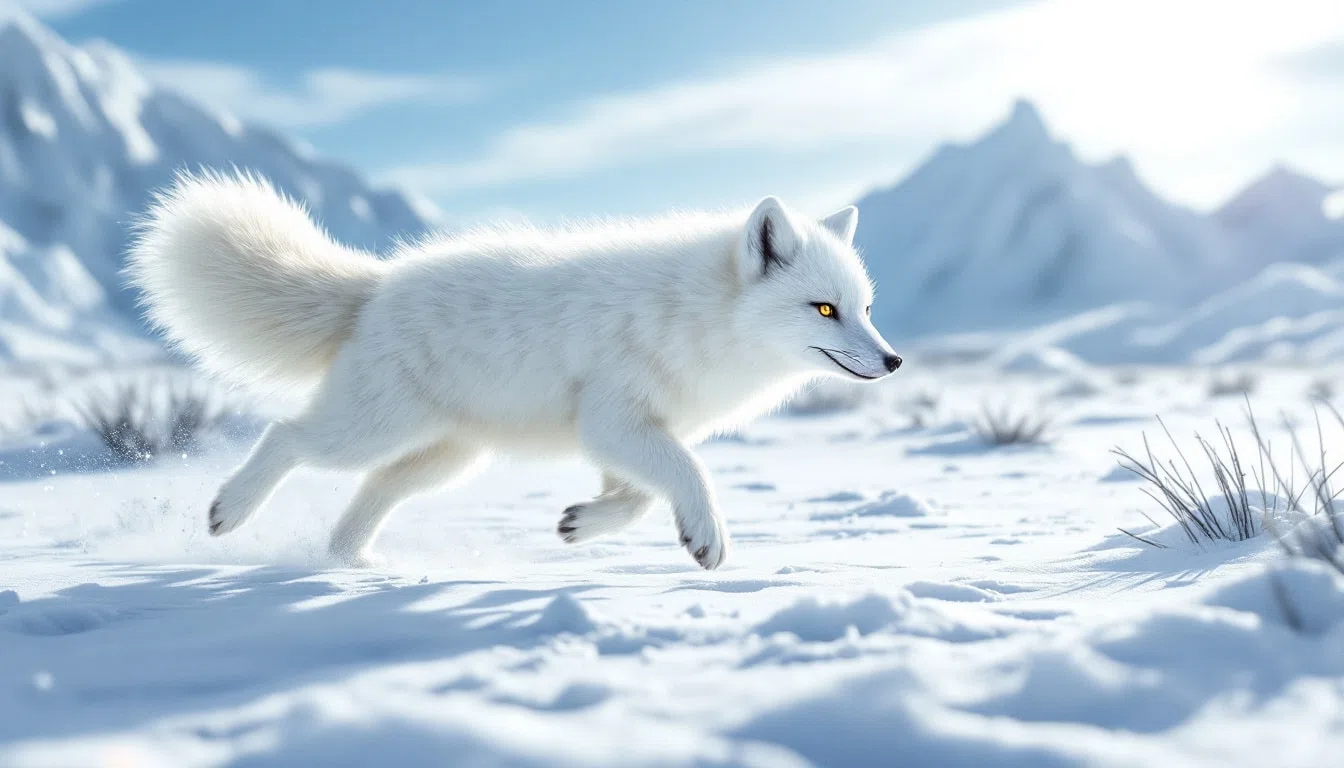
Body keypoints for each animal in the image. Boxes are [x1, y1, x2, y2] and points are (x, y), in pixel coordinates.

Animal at [127, 172, 901, 570]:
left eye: (866, 308)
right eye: (824, 308)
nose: (893, 360)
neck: (698, 316)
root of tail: (376, 285)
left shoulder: (623, 436)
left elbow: (640, 497)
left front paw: (583, 526)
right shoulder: (616, 422)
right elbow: (688, 475)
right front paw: (707, 535)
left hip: (447, 458)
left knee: (371, 494)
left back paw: (350, 566)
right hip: (370, 430)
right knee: (285, 436)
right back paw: (230, 512)